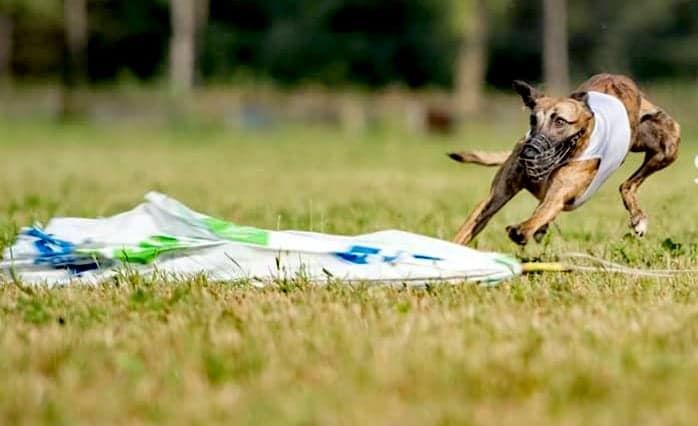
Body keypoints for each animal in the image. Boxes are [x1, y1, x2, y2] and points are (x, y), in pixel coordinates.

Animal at [448, 73, 676, 246]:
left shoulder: (558, 194)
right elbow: (471, 225)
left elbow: (540, 214)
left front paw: (522, 230)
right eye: (533, 119)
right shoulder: (496, 196)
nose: (527, 154)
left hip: (668, 146)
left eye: (560, 121)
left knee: (627, 185)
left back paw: (638, 219)